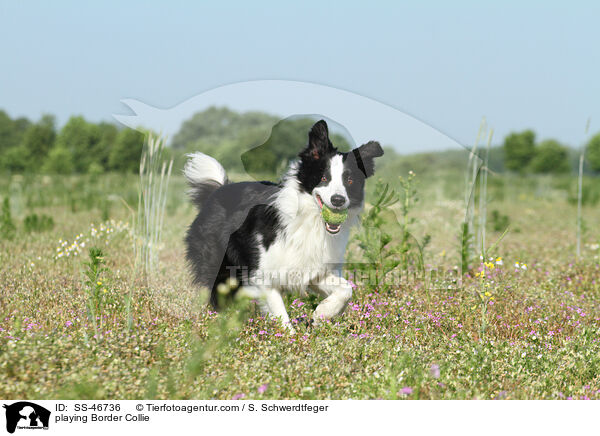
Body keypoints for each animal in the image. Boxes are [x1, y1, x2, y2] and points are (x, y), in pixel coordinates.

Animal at [184, 119, 384, 330]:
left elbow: (346, 289)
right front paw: (291, 336)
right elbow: (281, 315)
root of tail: (219, 190)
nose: (338, 200)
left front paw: (322, 313)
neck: (311, 220)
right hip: (220, 266)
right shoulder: (264, 276)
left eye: (350, 180)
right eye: (324, 178)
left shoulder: (314, 270)